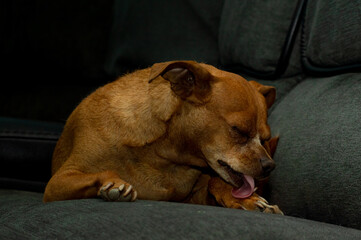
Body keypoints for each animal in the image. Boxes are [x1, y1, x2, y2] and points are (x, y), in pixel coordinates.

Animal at [43, 60, 282, 214]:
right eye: (238, 130)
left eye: (264, 138)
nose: (269, 166)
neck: (162, 155)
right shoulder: (58, 182)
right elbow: (106, 171)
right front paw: (114, 184)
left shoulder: (196, 196)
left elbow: (216, 183)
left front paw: (245, 199)